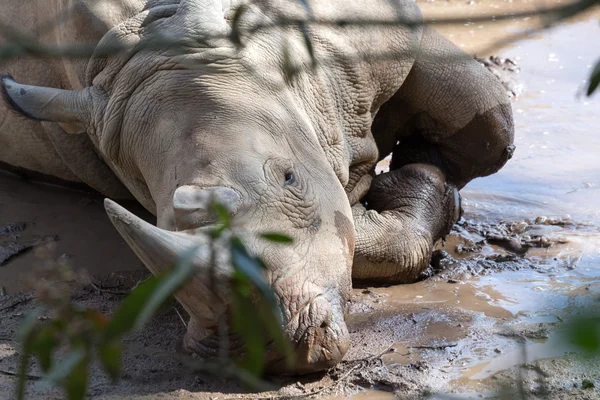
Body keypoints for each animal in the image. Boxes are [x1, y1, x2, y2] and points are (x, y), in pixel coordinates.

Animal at [1, 0, 516, 376]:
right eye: (160, 218)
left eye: (290, 178)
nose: (262, 351)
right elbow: (353, 235)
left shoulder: (386, 27)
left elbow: (489, 122)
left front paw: (428, 185)